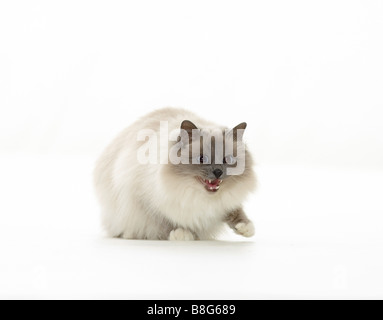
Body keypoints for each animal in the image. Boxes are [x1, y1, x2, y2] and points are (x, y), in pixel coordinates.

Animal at [93, 107, 256, 240]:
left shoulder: (224, 202)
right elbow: (163, 221)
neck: (196, 195)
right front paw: (182, 233)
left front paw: (245, 228)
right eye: (202, 158)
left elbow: (235, 211)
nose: (218, 172)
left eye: (227, 159)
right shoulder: (145, 200)